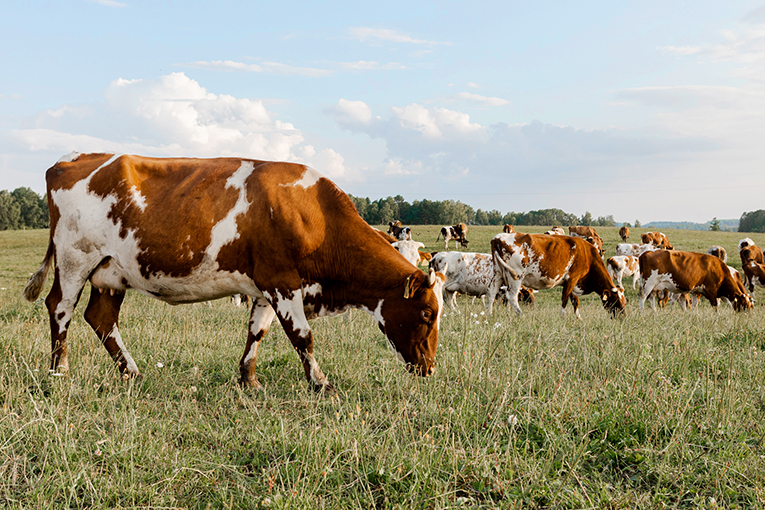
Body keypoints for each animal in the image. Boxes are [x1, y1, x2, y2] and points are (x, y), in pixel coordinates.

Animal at [22, 151, 448, 390]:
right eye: (427, 313)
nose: (429, 368)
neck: (313, 215)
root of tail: (74, 159)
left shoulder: (264, 287)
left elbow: (257, 332)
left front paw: (249, 380)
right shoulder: (282, 283)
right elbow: (302, 337)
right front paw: (320, 382)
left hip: (111, 273)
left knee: (101, 318)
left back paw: (132, 372)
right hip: (75, 259)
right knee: (60, 308)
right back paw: (60, 371)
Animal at [486, 232, 624, 318]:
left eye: (625, 302)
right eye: (616, 301)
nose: (623, 317)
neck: (588, 254)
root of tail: (497, 238)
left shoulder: (573, 282)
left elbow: (575, 301)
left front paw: (578, 318)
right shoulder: (572, 279)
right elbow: (565, 299)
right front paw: (563, 317)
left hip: (498, 274)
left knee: (491, 293)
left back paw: (490, 315)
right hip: (515, 277)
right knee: (512, 297)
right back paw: (521, 315)